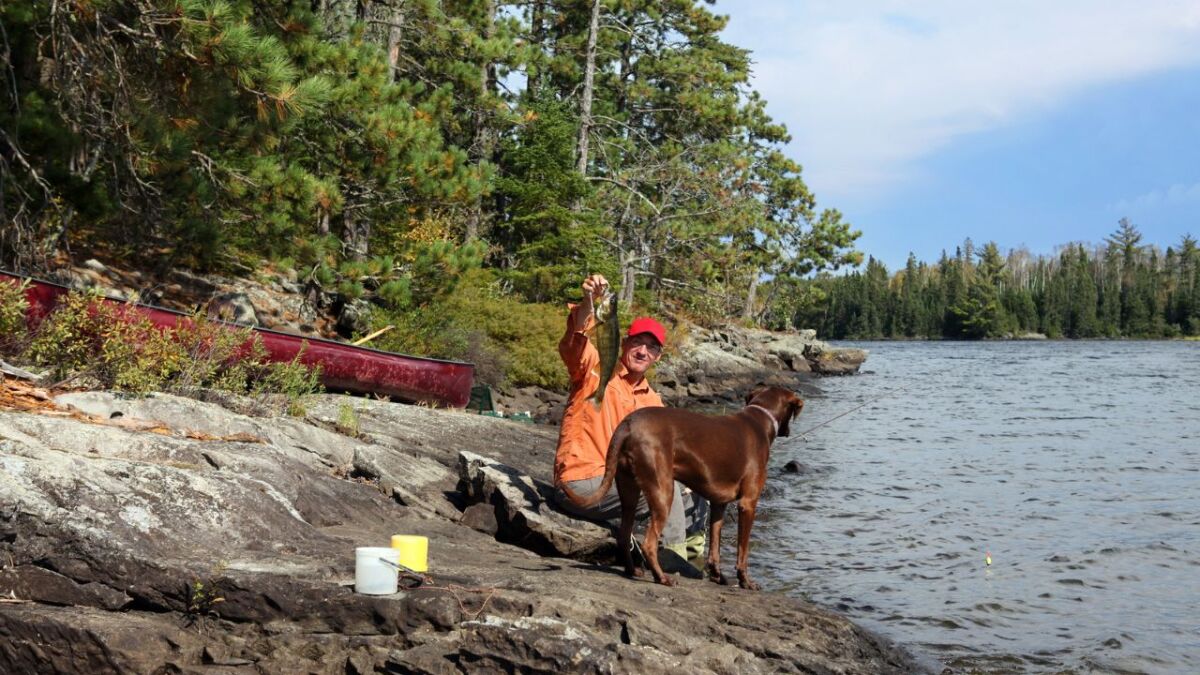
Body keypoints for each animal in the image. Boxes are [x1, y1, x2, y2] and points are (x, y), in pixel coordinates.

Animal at [561, 386, 806, 586]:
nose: (788, 431)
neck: (759, 418)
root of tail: (628, 424)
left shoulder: (719, 504)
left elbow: (714, 548)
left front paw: (718, 576)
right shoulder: (748, 503)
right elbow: (743, 552)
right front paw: (745, 581)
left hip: (628, 491)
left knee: (624, 535)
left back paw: (633, 571)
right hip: (663, 491)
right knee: (649, 543)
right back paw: (662, 578)